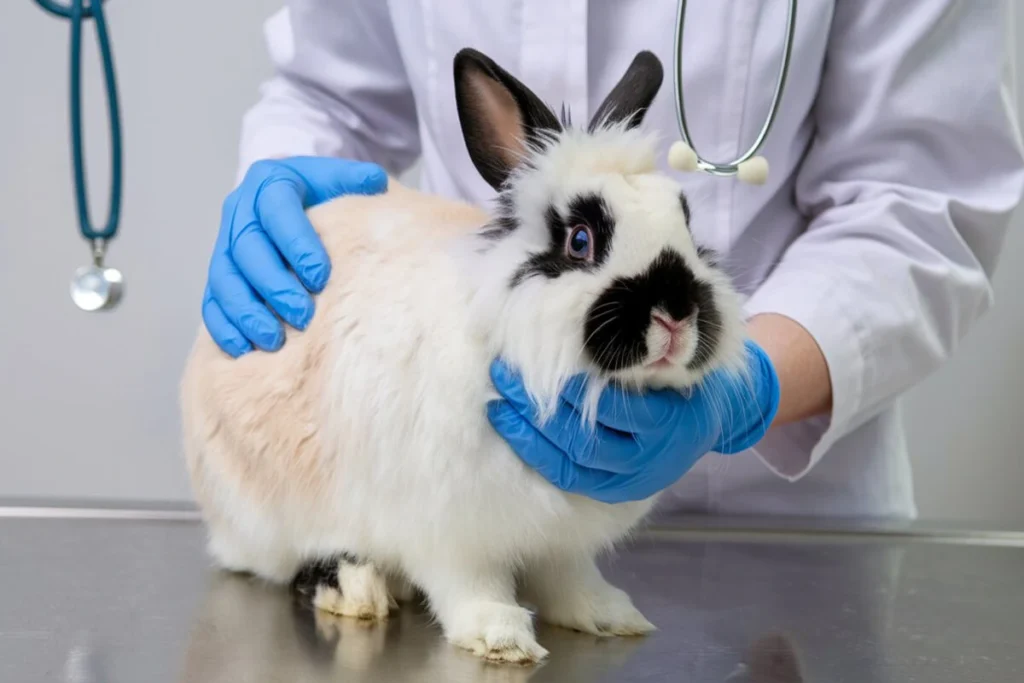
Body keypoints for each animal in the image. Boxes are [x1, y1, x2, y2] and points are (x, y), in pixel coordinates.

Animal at [180, 45, 749, 663]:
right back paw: (357, 588)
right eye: (580, 240)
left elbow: (570, 580)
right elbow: (470, 585)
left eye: (687, 223)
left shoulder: (561, 541)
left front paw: (610, 615)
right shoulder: (448, 531)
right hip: (273, 510)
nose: (677, 311)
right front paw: (501, 636)